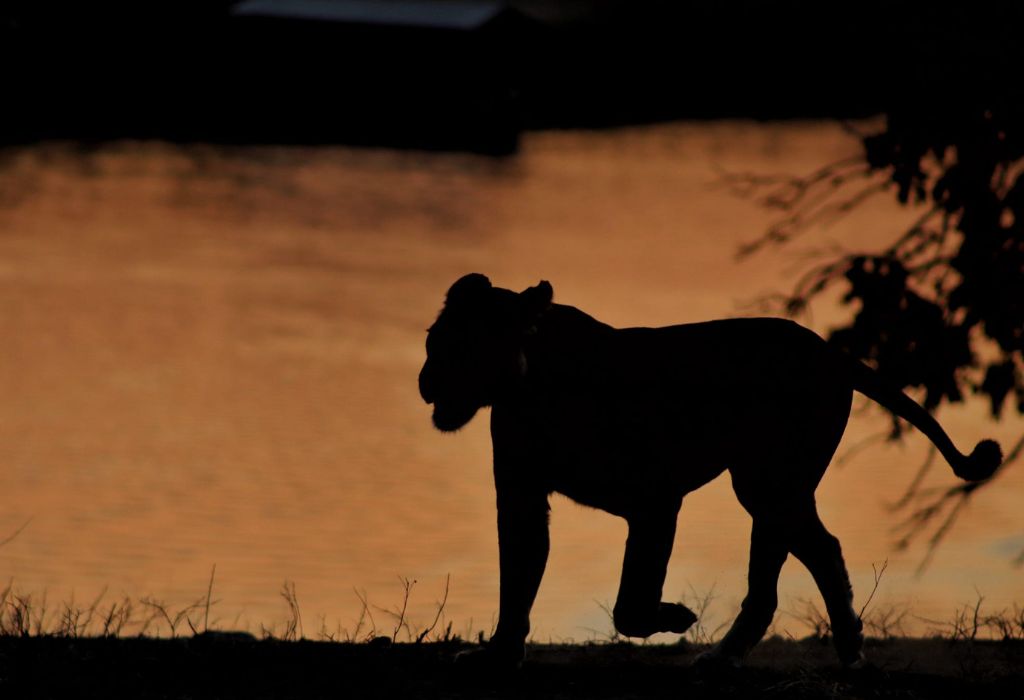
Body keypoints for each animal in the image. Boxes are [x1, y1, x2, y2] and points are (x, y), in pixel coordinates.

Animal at [419, 274, 1003, 667]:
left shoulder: (653, 499)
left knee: (790, 569)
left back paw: (744, 655)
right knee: (813, 554)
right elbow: (517, 578)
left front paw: (676, 617)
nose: (424, 380)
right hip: (776, 489)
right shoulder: (521, 494)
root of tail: (830, 352)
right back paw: (832, 648)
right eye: (431, 342)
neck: (526, 386)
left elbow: (629, 602)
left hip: (766, 485)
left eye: (458, 347)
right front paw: (498, 655)